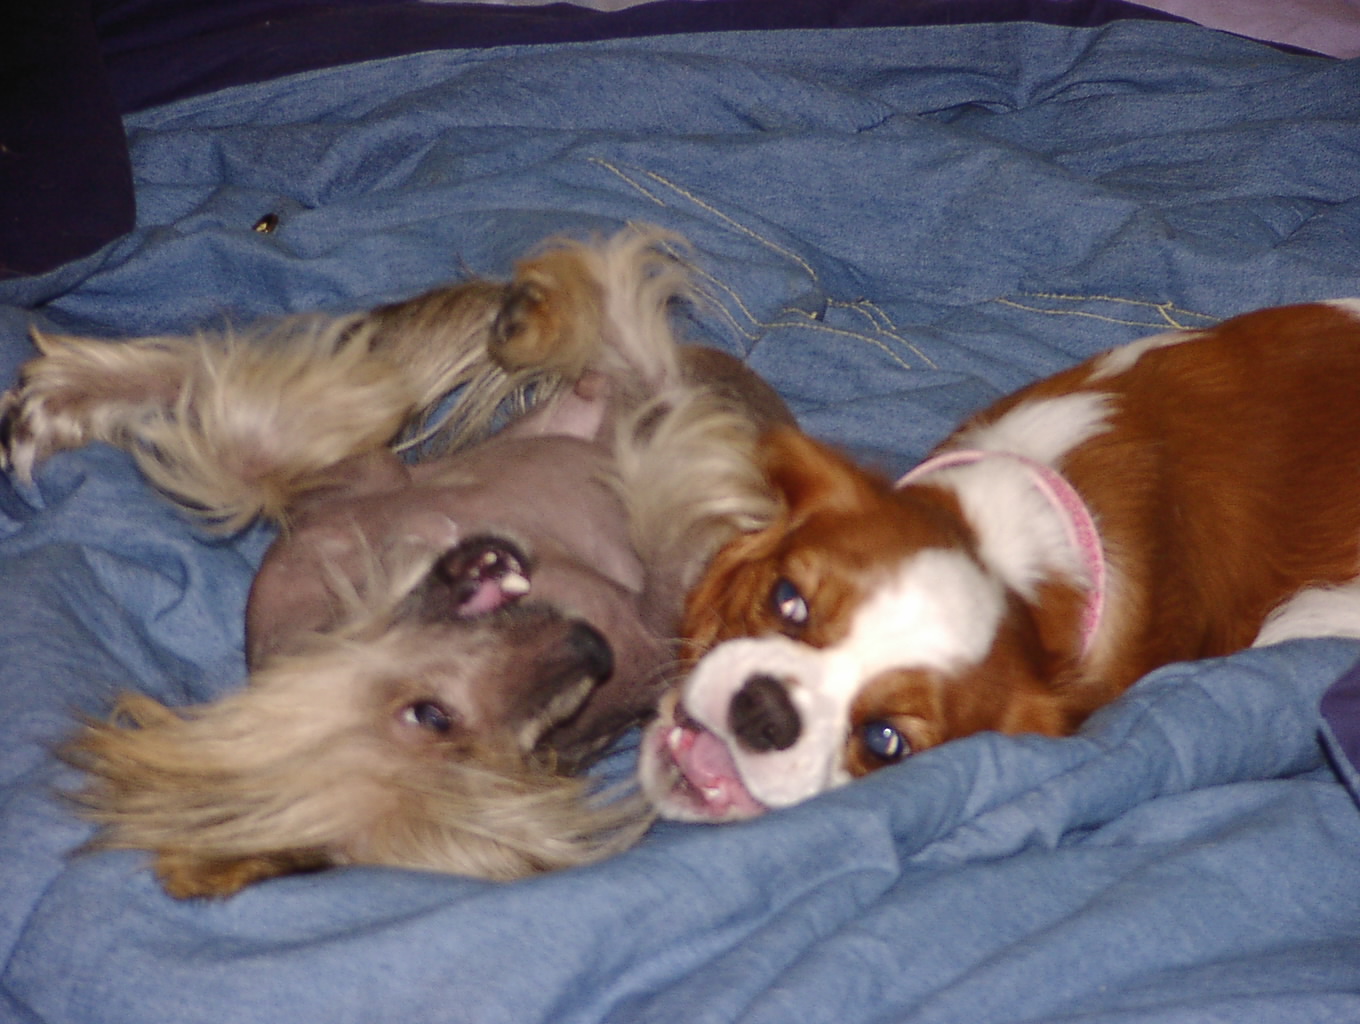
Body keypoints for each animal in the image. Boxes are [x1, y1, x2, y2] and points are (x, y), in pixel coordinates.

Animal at [0, 227, 794, 892]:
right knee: (626, 347)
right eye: (435, 719)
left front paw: (66, 397)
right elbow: (236, 430)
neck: (381, 574)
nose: (592, 651)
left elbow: (235, 428)